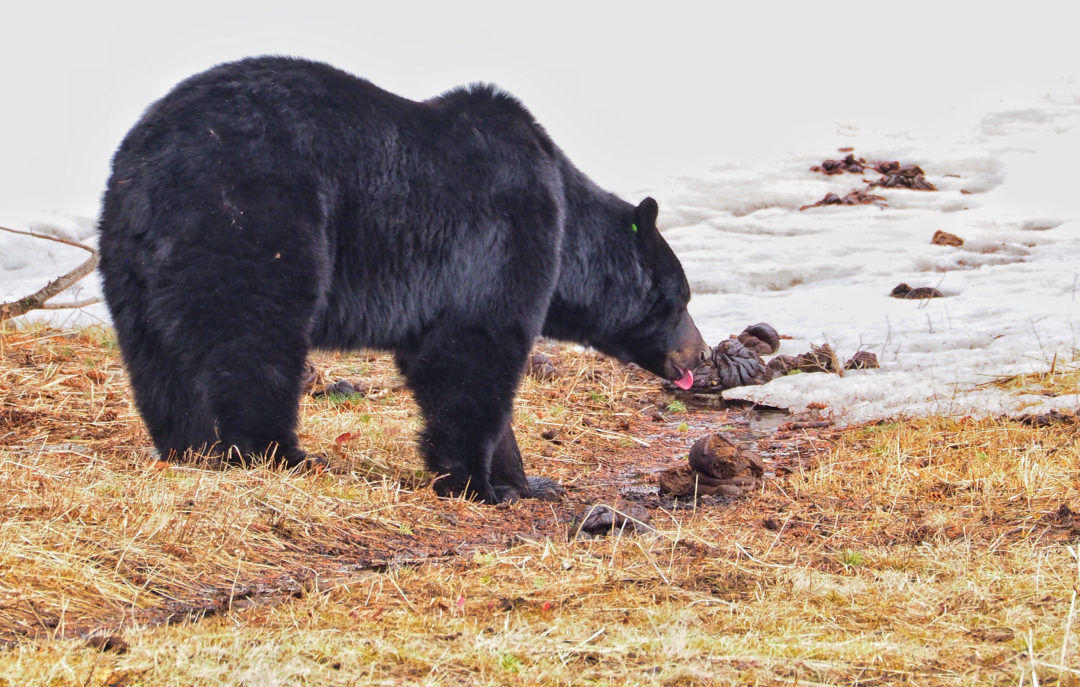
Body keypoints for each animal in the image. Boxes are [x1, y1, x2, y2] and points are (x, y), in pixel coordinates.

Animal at [99, 56, 708, 501]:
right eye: (680, 301)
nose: (699, 355)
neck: (565, 220)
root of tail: (149, 166)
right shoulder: (504, 233)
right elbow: (471, 353)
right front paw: (478, 483)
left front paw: (529, 481)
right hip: (254, 221)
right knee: (253, 342)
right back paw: (284, 455)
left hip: (129, 261)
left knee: (159, 360)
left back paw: (190, 448)